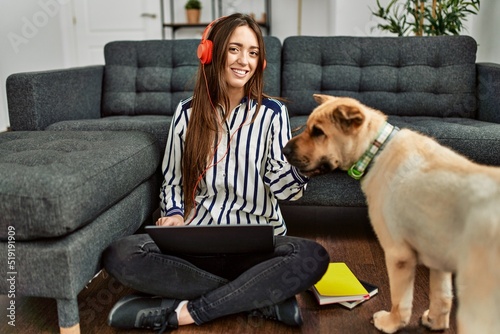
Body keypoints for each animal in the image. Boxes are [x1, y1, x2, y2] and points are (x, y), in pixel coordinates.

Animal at [284, 94, 498, 334]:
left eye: (318, 132)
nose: (283, 150)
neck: (376, 151)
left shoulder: (398, 254)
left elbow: (400, 300)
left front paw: (391, 323)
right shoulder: (437, 256)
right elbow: (441, 296)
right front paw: (435, 321)